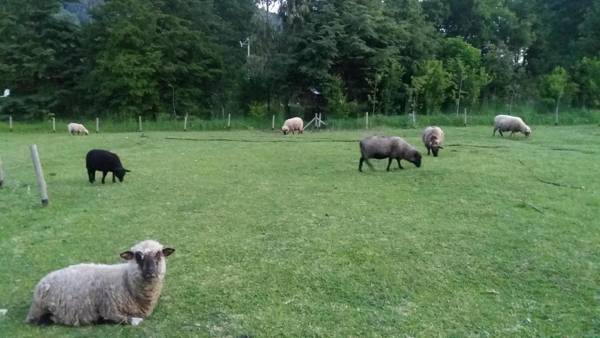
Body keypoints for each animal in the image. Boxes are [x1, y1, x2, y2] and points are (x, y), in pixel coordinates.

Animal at [27, 239, 175, 326]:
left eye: (159, 255)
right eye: (138, 257)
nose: (151, 273)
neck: (125, 280)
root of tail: (42, 281)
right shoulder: (108, 309)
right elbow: (125, 319)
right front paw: (135, 320)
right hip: (41, 309)